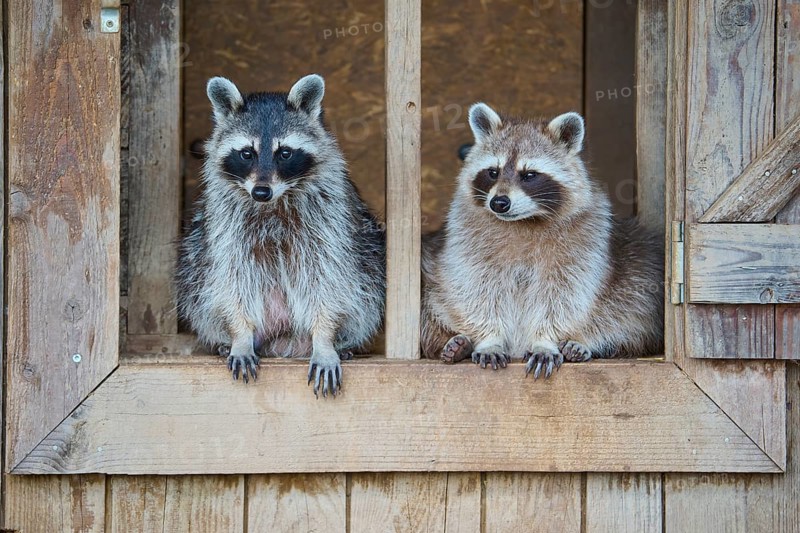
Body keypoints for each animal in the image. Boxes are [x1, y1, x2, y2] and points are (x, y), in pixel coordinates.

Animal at [176, 75, 385, 396]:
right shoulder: (225, 225)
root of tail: (284, 341)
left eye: (284, 153)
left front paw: (325, 338)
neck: (272, 203)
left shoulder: (330, 221)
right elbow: (231, 279)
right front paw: (240, 334)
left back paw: (342, 341)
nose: (261, 192)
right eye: (246, 153)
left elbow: (329, 279)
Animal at [421, 103, 663, 378]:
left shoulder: (586, 239)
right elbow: (476, 289)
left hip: (639, 270)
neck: (524, 220)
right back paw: (455, 343)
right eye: (493, 172)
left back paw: (583, 344)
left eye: (529, 175)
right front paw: (490, 338)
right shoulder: (465, 236)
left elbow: (564, 294)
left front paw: (544, 340)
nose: (499, 203)